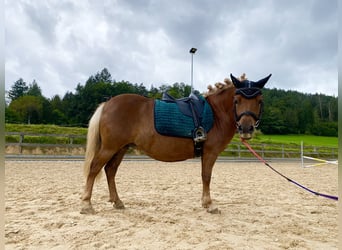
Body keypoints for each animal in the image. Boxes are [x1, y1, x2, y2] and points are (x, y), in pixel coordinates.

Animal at [80, 73, 270, 214]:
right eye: (237, 100)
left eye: (259, 101)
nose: (246, 128)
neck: (216, 114)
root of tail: (108, 104)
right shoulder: (210, 152)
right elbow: (206, 176)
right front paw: (209, 205)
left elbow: (204, 176)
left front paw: (205, 203)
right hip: (110, 148)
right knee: (94, 168)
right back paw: (86, 204)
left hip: (120, 149)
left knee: (110, 171)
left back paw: (117, 202)